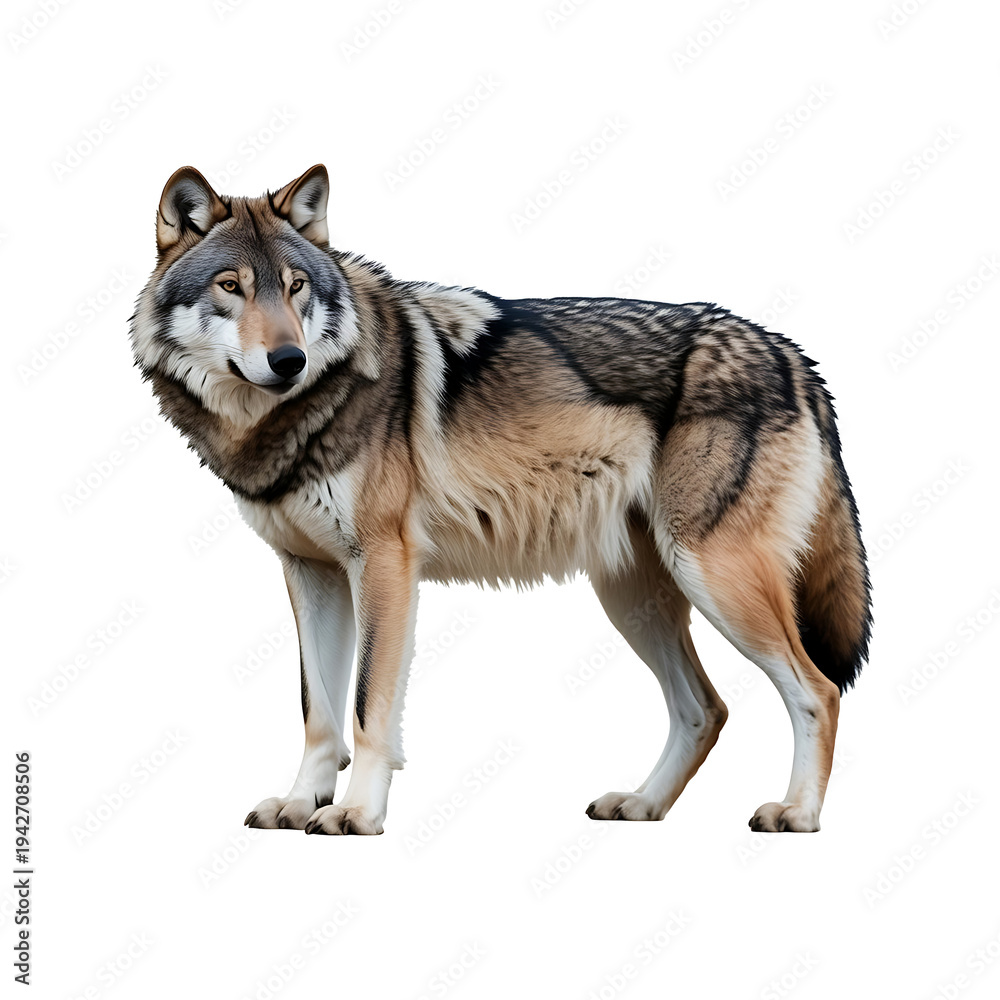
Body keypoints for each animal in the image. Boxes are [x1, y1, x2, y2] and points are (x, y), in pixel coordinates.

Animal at [130, 164, 871, 836]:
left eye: (295, 287)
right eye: (232, 287)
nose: (290, 361)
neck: (285, 424)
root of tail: (789, 353)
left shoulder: (384, 564)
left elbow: (368, 706)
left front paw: (357, 813)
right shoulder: (310, 572)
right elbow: (318, 710)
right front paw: (299, 802)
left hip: (712, 576)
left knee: (818, 690)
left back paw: (798, 813)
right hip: (632, 596)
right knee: (705, 709)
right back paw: (641, 805)